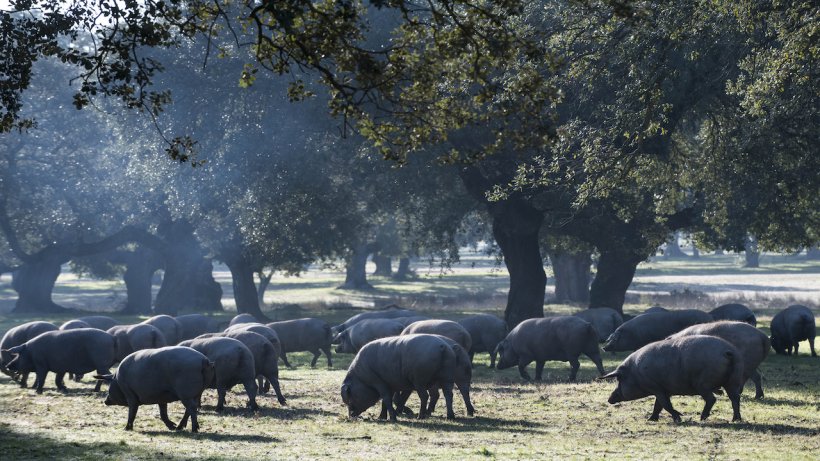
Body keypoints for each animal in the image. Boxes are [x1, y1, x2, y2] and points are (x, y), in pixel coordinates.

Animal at [604, 334, 744, 420]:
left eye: (619, 379)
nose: (609, 399)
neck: (635, 373)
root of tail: (727, 351)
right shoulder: (663, 390)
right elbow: (658, 405)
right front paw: (651, 420)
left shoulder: (656, 387)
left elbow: (665, 405)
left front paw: (679, 417)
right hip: (733, 380)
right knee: (735, 398)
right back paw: (735, 419)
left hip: (703, 384)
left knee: (712, 399)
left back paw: (702, 418)